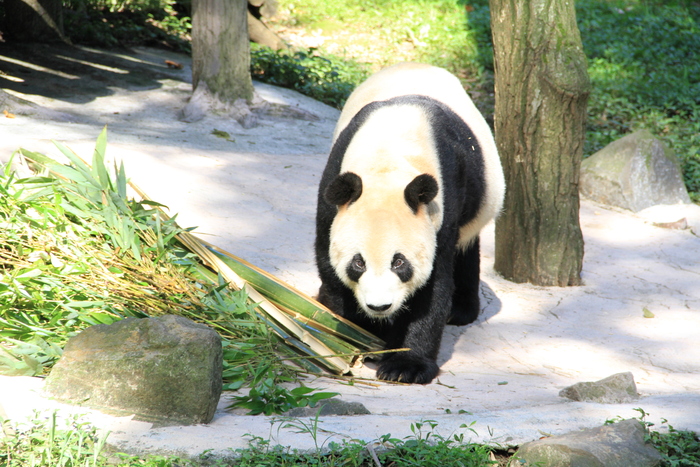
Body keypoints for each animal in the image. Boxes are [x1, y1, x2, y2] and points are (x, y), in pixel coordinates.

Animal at [314, 61, 504, 384]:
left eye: (399, 262)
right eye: (358, 262)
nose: (380, 306)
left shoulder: (441, 204)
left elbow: (433, 286)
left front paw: (405, 366)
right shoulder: (334, 190)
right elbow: (330, 269)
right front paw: (358, 335)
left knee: (466, 250)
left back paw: (460, 310)